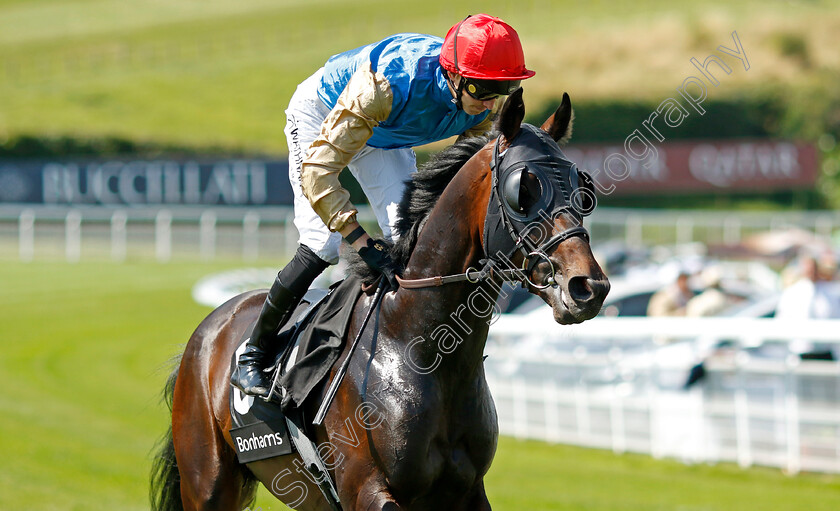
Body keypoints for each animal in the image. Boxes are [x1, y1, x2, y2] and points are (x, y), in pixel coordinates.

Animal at [151, 90, 612, 510]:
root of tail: (210, 327)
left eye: (582, 187)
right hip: (208, 483)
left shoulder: (466, 490)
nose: (587, 287)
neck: (418, 344)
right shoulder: (367, 491)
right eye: (524, 189)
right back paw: (251, 370)